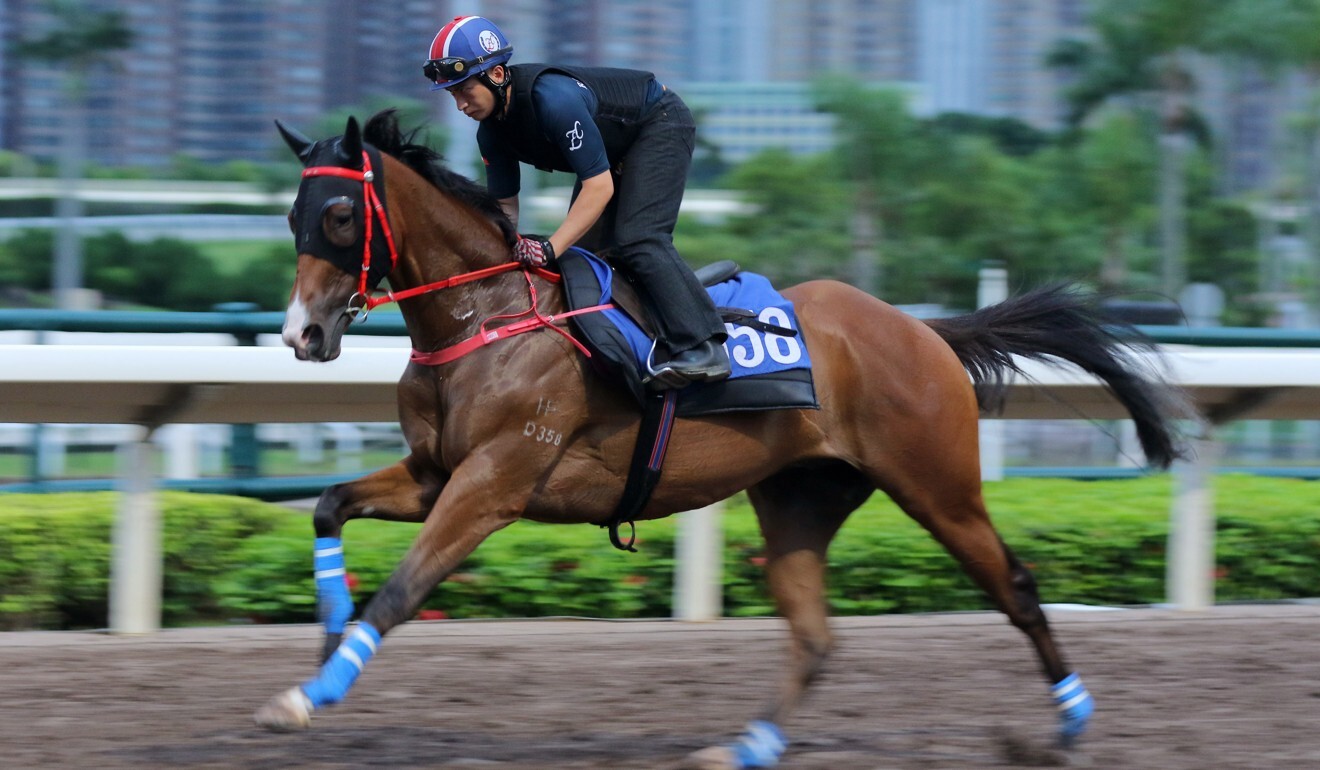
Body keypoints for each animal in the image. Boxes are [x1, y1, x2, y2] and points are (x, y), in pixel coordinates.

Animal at [254, 110, 1188, 770]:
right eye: (292, 212)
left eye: (338, 214)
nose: (302, 335)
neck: (490, 315)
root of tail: (924, 331)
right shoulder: (433, 472)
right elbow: (329, 506)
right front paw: (325, 632)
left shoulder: (494, 483)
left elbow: (401, 593)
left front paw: (308, 693)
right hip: (799, 499)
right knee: (814, 638)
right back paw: (743, 748)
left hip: (939, 485)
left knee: (1017, 589)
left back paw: (1068, 725)